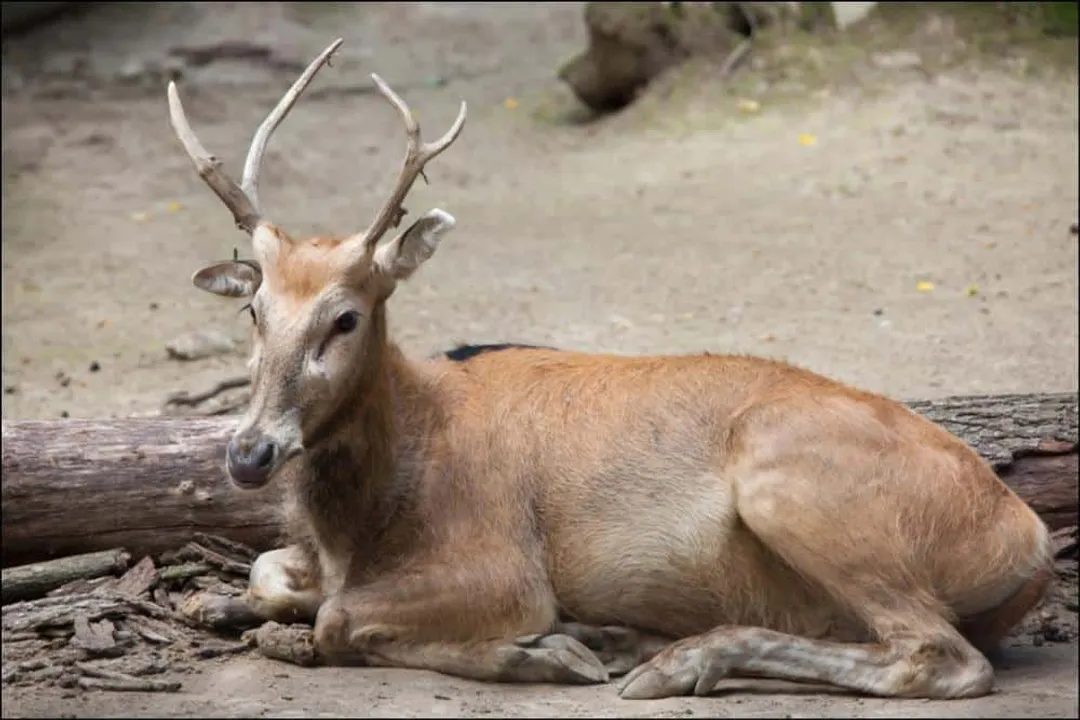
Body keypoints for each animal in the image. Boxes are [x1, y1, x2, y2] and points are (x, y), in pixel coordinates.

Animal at [167, 38, 1054, 700]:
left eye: (345, 316)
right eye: (253, 311)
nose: (249, 453)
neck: (371, 512)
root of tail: (1031, 541)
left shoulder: (503, 563)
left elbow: (340, 620)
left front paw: (547, 649)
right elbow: (270, 573)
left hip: (793, 482)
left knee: (940, 656)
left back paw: (670, 659)